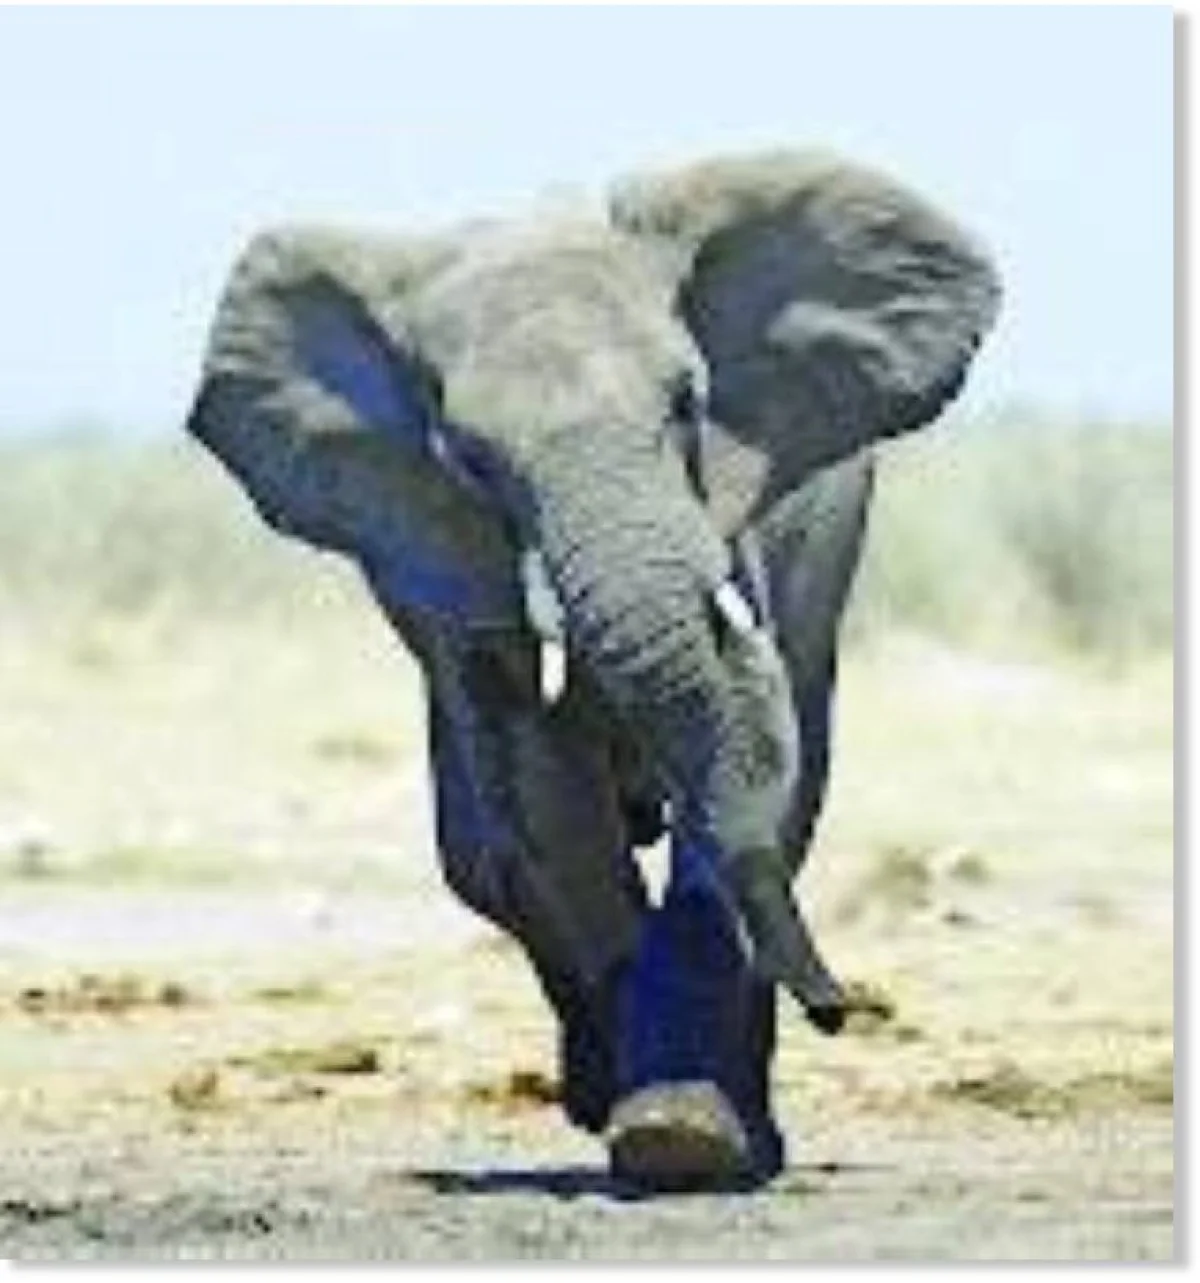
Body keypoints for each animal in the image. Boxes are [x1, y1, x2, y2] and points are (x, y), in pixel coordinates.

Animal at [185, 149, 1000, 1189]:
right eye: (470, 459)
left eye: (689, 403)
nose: (842, 1009)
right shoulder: (449, 555)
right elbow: (543, 796)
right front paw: (662, 1129)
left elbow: (752, 763)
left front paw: (690, 1140)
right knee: (481, 852)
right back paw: (593, 1088)